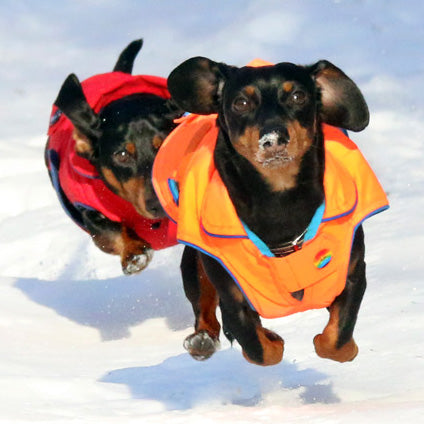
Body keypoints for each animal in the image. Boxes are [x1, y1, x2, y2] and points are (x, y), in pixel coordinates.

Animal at [46, 40, 182, 274]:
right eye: (122, 155)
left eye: (165, 144)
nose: (158, 205)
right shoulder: (87, 209)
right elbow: (108, 231)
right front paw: (134, 252)